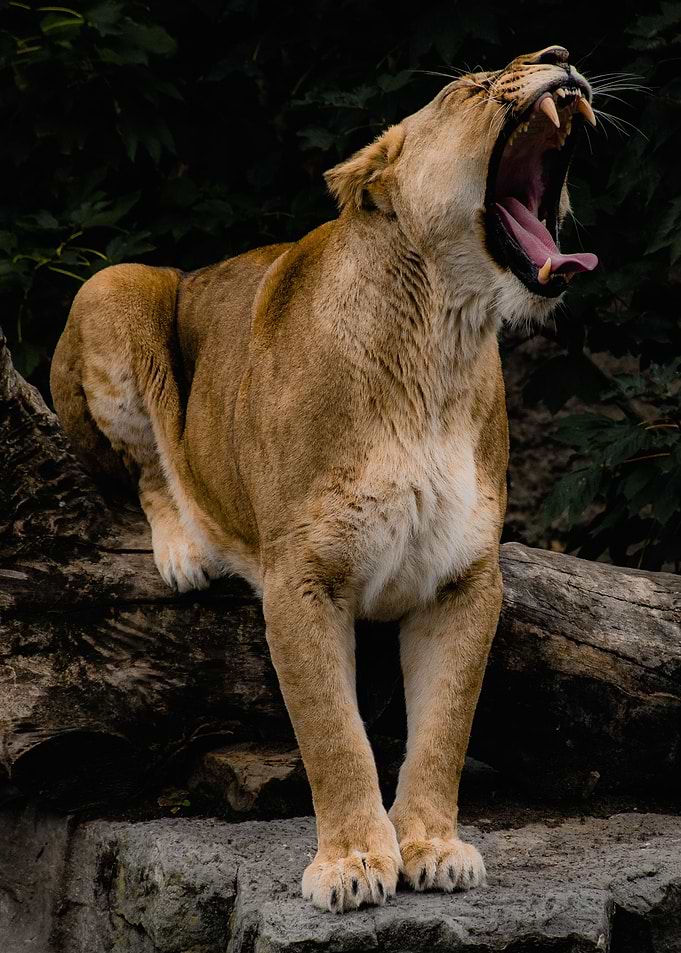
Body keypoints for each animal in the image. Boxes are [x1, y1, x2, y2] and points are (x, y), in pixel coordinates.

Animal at [50, 45, 597, 912]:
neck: (441, 338)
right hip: (116, 284)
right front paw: (351, 862)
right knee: (148, 467)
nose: (558, 56)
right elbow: (334, 733)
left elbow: (443, 727)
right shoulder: (299, 578)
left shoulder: (464, 579)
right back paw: (183, 550)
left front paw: (431, 845)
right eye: (472, 88)